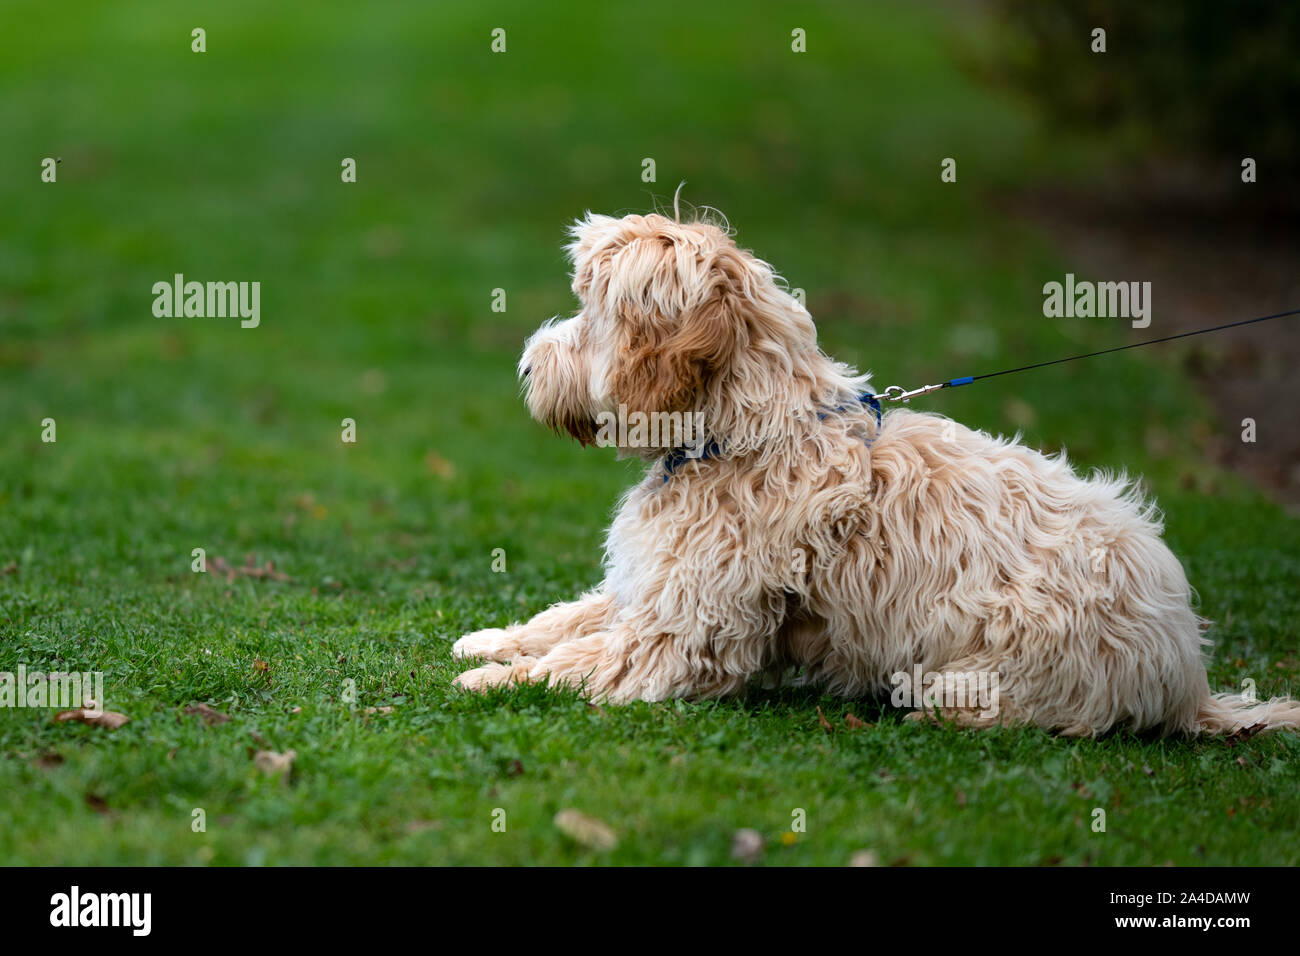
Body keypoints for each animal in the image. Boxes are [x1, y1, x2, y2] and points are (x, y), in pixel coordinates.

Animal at [452, 208, 1294, 733]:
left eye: (593, 313)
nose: (525, 367)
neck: (750, 433)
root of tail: (1187, 673)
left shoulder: (682, 632)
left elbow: (589, 656)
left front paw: (494, 681)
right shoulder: (654, 588)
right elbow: (576, 615)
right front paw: (492, 641)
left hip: (994, 664)